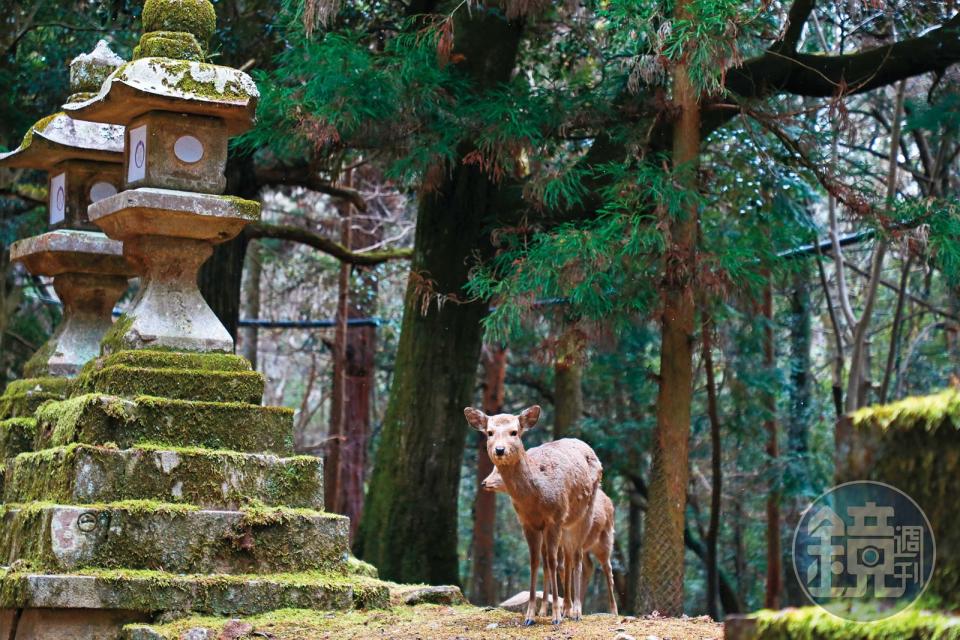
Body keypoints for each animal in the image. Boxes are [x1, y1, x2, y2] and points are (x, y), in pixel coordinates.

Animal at [464, 404, 600, 624]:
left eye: (514, 432)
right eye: (489, 432)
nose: (499, 449)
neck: (535, 498)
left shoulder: (555, 517)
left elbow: (551, 562)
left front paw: (555, 616)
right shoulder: (527, 523)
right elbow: (535, 561)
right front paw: (530, 616)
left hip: (586, 511)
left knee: (577, 557)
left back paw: (576, 611)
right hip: (567, 523)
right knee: (568, 558)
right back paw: (567, 608)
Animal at [480, 468, 624, 616]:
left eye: (499, 471)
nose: (484, 483)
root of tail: (610, 503)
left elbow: (561, 567)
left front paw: (565, 608)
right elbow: (548, 567)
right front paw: (544, 610)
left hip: (605, 540)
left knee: (607, 568)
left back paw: (613, 611)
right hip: (586, 547)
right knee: (588, 566)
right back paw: (580, 606)